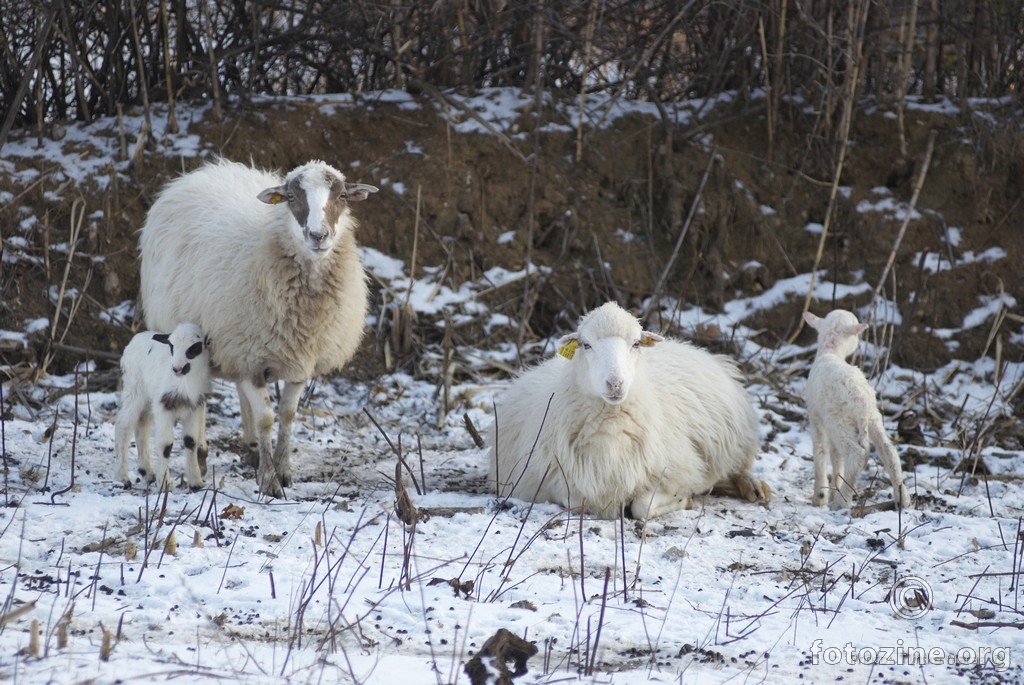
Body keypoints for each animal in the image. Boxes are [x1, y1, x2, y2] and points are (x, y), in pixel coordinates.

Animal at [116, 323, 211, 489]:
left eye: (194, 348)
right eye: (171, 346)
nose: (177, 369)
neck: (184, 382)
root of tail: (136, 338)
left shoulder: (193, 406)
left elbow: (191, 441)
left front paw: (195, 482)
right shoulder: (163, 406)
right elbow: (165, 445)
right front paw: (164, 484)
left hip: (148, 399)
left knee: (142, 425)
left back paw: (147, 472)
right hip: (135, 389)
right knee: (123, 425)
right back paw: (123, 477)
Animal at [136, 157, 376, 493]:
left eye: (342, 196)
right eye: (291, 197)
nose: (318, 236)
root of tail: (204, 171)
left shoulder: (297, 361)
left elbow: (287, 415)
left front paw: (283, 469)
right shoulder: (247, 356)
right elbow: (266, 418)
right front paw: (269, 479)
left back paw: (249, 449)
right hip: (197, 345)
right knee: (202, 399)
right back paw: (203, 454)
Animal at [487, 298, 770, 518]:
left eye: (635, 343)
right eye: (586, 344)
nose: (615, 383)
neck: (610, 429)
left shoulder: (679, 470)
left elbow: (642, 506)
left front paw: (684, 498)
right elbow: (577, 501)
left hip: (733, 439)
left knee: (738, 466)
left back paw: (752, 486)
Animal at [798, 309, 913, 507]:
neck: (830, 351)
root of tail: (860, 402)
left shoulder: (815, 416)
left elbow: (820, 451)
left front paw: (820, 496)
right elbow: (836, 456)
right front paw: (833, 489)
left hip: (838, 421)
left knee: (857, 455)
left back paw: (841, 502)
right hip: (873, 418)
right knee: (888, 452)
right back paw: (903, 499)